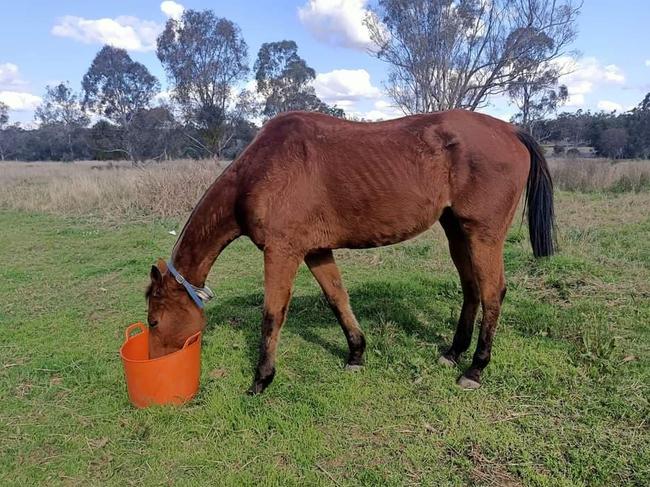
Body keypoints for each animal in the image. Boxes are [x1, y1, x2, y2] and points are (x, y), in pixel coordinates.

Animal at [146, 109, 552, 392]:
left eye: (153, 321)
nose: (154, 362)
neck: (260, 172)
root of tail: (512, 131)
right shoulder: (315, 250)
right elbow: (338, 299)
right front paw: (356, 353)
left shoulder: (281, 252)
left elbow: (272, 314)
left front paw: (262, 378)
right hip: (457, 232)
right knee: (471, 289)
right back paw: (454, 353)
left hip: (484, 236)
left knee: (492, 293)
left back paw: (476, 368)